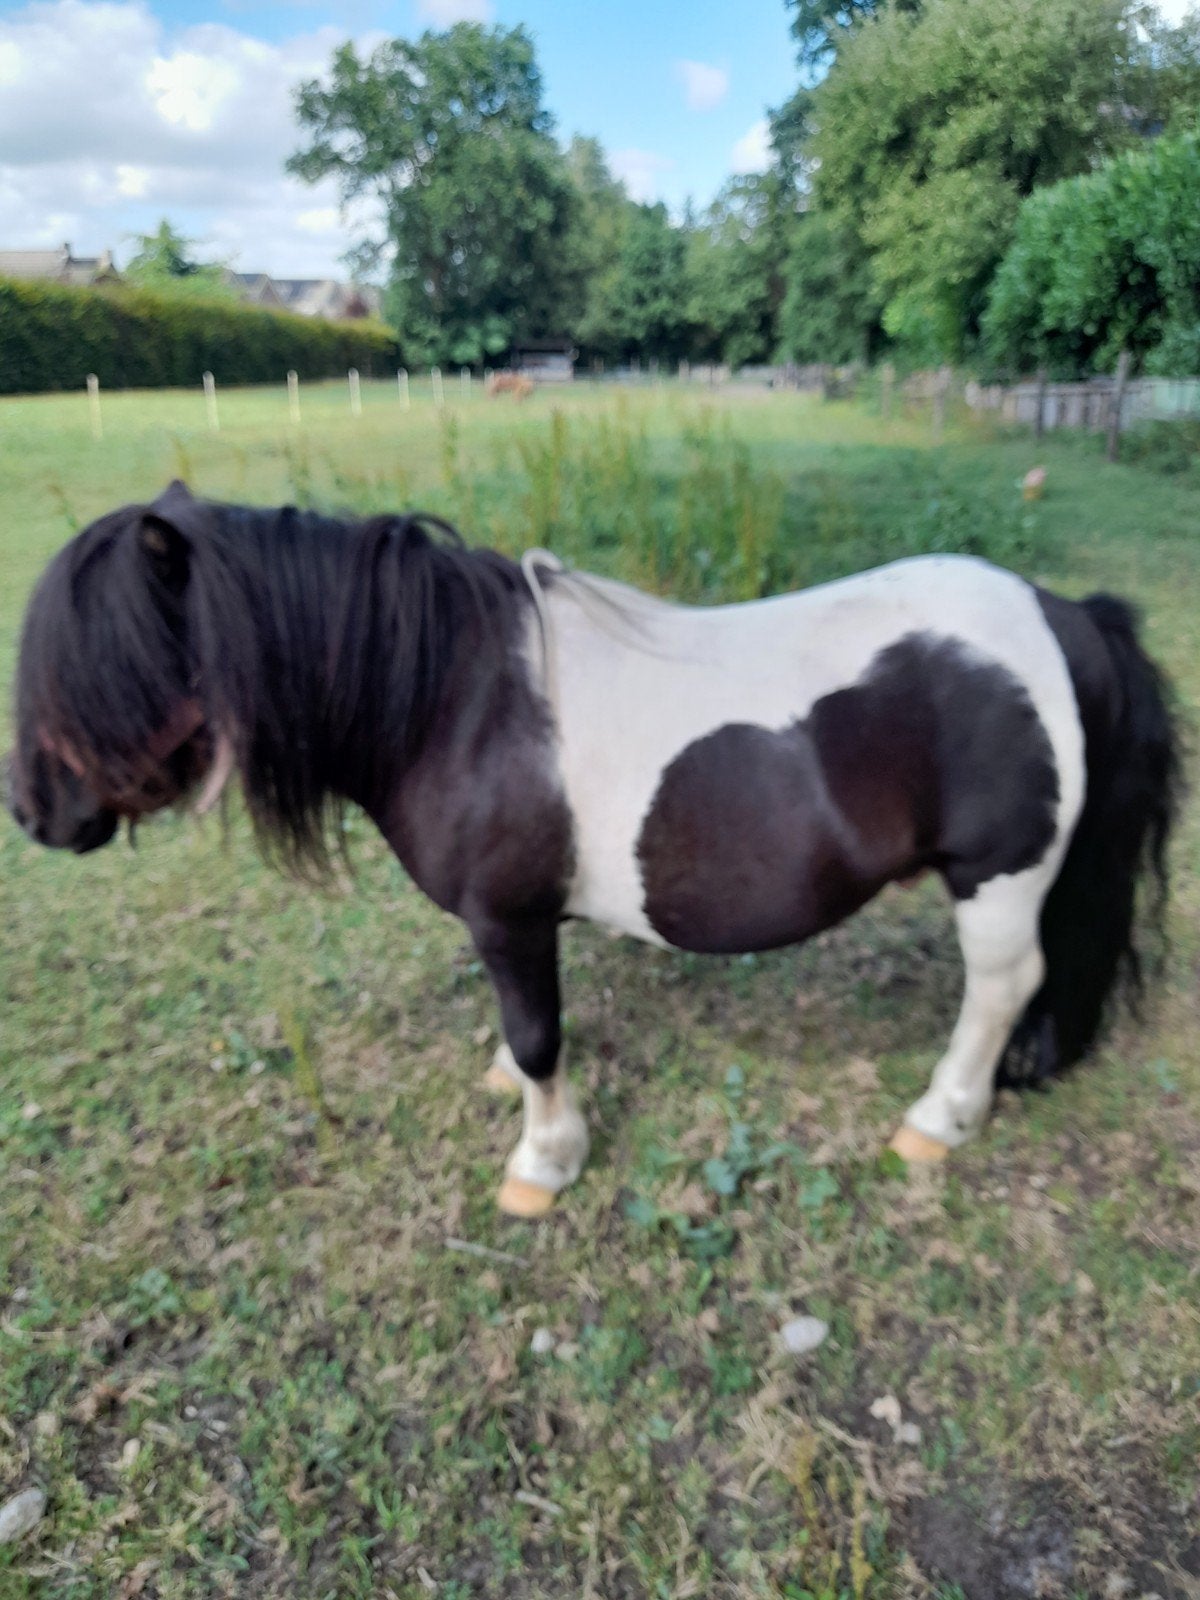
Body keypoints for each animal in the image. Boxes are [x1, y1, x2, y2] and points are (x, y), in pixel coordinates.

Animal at [9, 481, 1181, 1217]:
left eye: (107, 660)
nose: (33, 813)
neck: (453, 700)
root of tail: (1061, 615)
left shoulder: (511, 921)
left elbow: (539, 1039)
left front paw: (544, 1160)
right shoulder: (516, 928)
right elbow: (521, 1032)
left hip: (997, 877)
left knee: (1002, 984)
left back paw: (940, 1117)